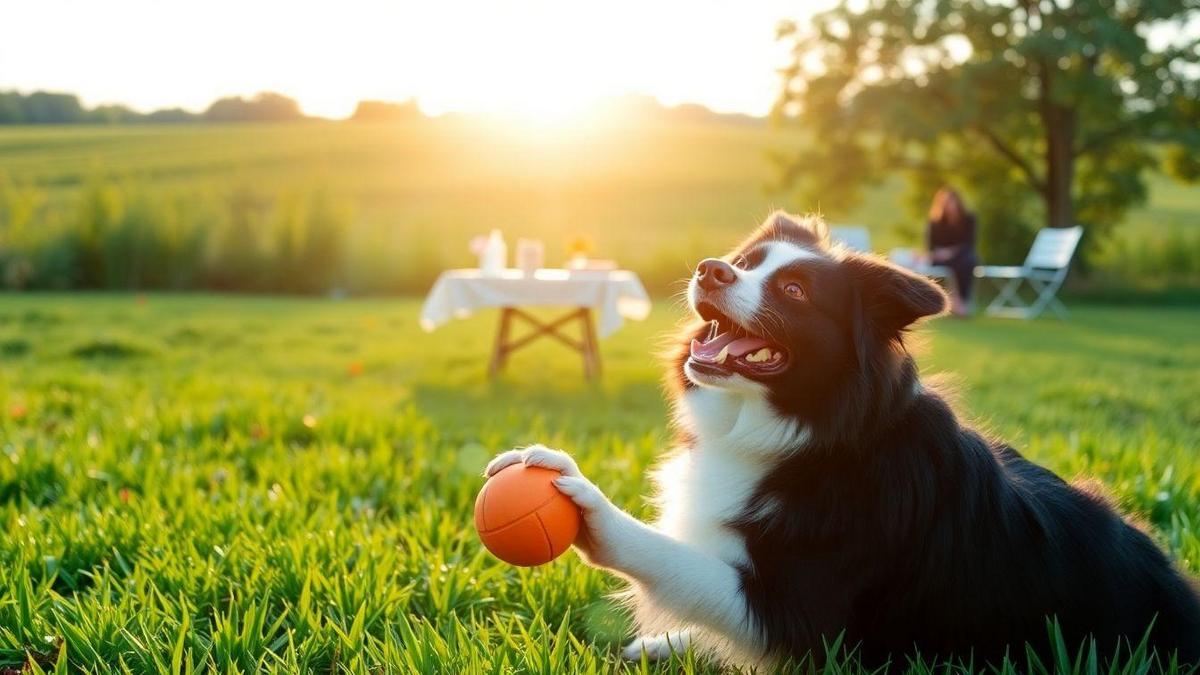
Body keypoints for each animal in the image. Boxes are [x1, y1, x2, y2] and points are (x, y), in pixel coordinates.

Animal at [482, 212, 1195, 662]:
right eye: (744, 263)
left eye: (795, 290)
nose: (711, 270)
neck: (810, 433)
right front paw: (666, 640)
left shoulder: (802, 609)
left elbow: (673, 559)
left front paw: (587, 505)